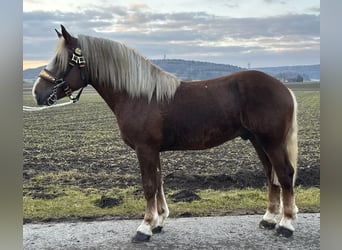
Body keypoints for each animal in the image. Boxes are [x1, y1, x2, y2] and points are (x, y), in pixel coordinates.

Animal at [32, 25, 300, 242]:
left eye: (62, 60)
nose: (37, 92)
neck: (139, 95)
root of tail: (283, 87)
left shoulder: (145, 149)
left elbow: (149, 185)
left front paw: (145, 227)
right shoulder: (153, 150)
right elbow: (159, 181)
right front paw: (159, 221)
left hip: (272, 141)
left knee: (285, 174)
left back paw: (286, 225)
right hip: (258, 141)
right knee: (271, 175)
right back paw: (269, 219)